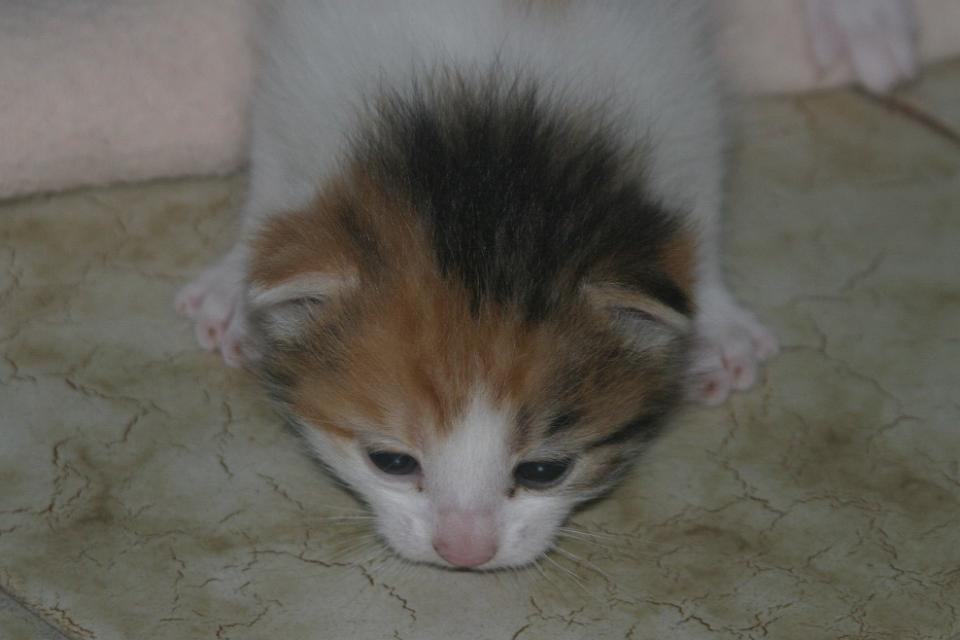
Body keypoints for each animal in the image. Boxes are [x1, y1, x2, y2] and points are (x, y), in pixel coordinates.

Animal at [177, 0, 777, 570]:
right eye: (391, 462)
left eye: (544, 471)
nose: (464, 552)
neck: (487, 126)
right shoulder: (298, 85)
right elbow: (271, 176)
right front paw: (233, 286)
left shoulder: (680, 94)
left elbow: (700, 202)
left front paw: (717, 325)